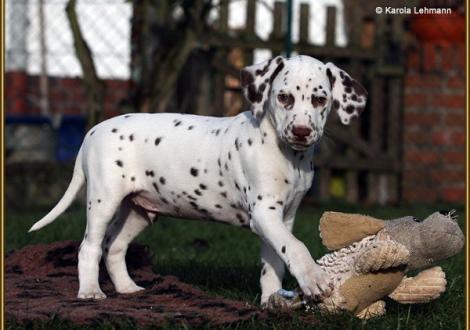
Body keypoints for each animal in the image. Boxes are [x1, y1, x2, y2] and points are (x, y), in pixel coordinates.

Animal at [28, 54, 368, 304]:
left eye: (320, 100)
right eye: (284, 97)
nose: (301, 131)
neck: (288, 155)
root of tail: (92, 132)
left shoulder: (283, 218)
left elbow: (275, 259)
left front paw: (272, 300)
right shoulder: (264, 213)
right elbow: (296, 248)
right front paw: (315, 279)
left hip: (139, 211)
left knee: (113, 247)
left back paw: (127, 288)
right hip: (104, 200)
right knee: (90, 247)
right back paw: (90, 292)